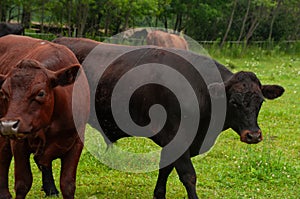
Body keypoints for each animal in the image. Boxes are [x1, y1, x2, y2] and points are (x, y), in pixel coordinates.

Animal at [0, 35, 89, 199]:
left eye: (41, 93)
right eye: (3, 93)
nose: (9, 124)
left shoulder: (77, 142)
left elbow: (67, 184)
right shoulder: (18, 143)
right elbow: (23, 183)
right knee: (3, 153)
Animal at [52, 36, 284, 198]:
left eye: (261, 102)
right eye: (234, 102)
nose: (253, 135)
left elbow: (165, 169)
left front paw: (159, 194)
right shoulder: (177, 137)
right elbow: (189, 176)